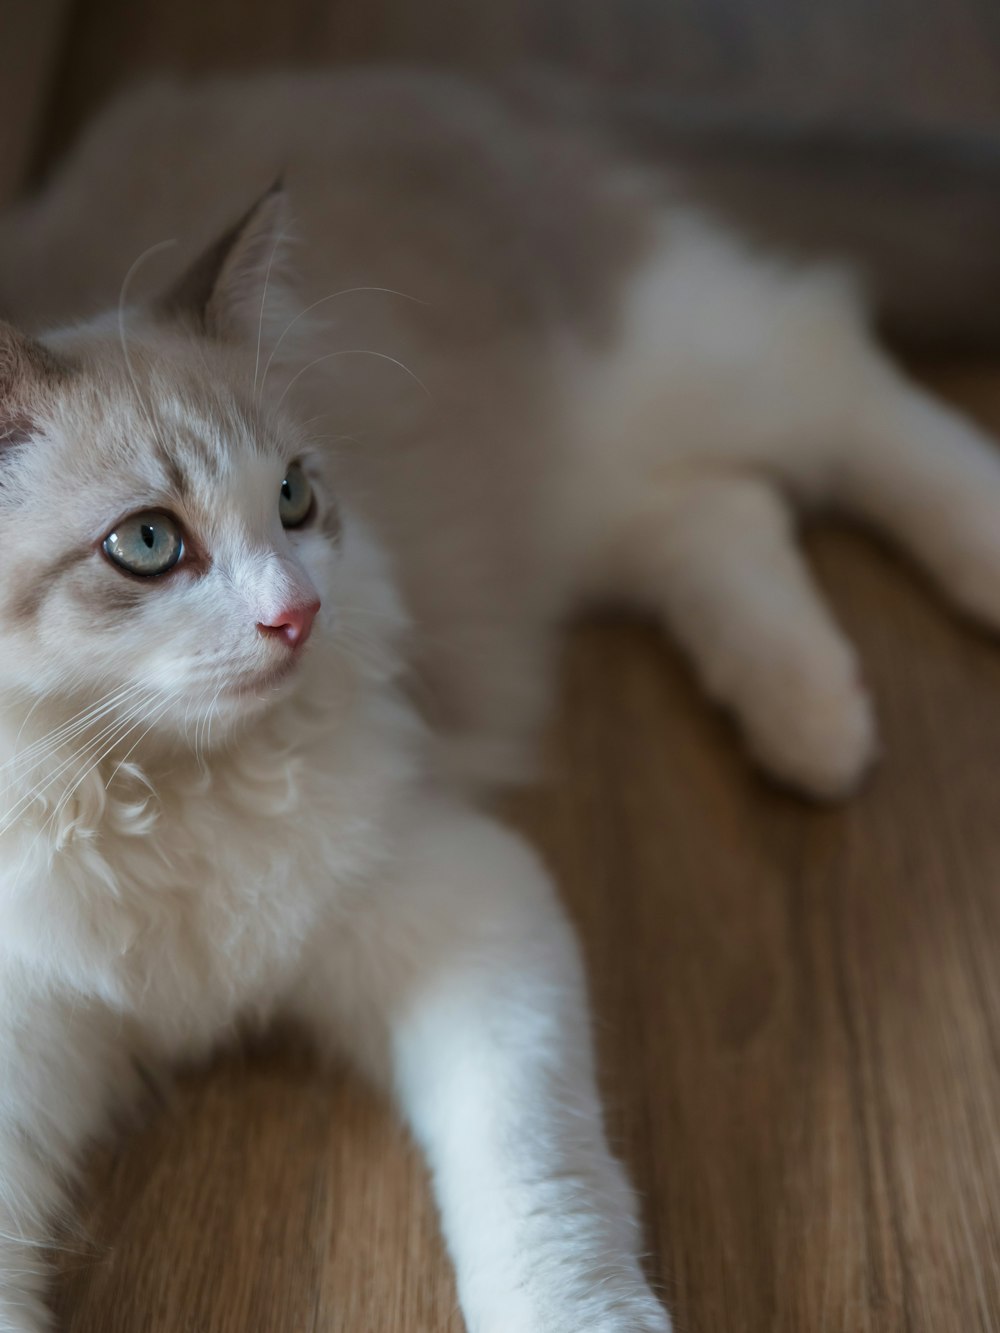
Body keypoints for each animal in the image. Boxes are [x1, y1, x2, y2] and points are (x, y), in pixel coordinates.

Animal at [1, 64, 1000, 1333]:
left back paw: (964, 583)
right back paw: (813, 719)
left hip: (667, 369)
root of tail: (443, 86)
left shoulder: (470, 906)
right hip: (577, 508)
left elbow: (535, 1189)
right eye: (145, 543)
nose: (298, 615)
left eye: (293, 498)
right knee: (726, 511)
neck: (157, 792)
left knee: (840, 372)